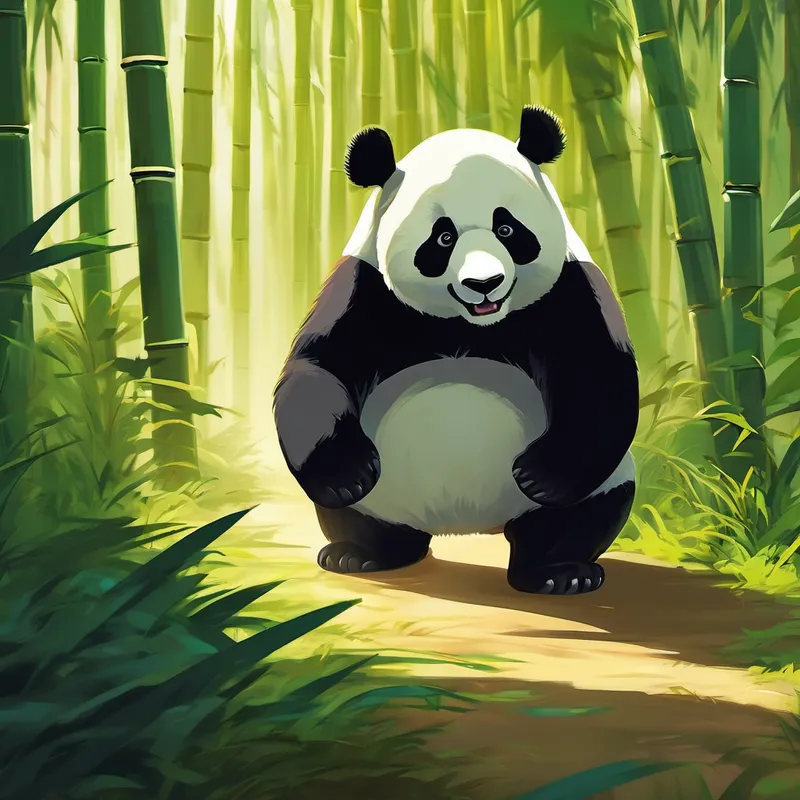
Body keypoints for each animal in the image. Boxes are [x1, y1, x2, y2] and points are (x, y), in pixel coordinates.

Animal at [273, 105, 639, 595]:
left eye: (507, 228)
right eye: (443, 238)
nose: (484, 283)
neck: (470, 323)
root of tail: (466, 524)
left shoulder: (571, 288)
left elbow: (595, 376)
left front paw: (541, 475)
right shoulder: (362, 287)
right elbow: (318, 368)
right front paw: (346, 473)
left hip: (602, 480)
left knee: (577, 514)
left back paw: (559, 572)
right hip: (382, 498)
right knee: (358, 516)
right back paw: (361, 553)